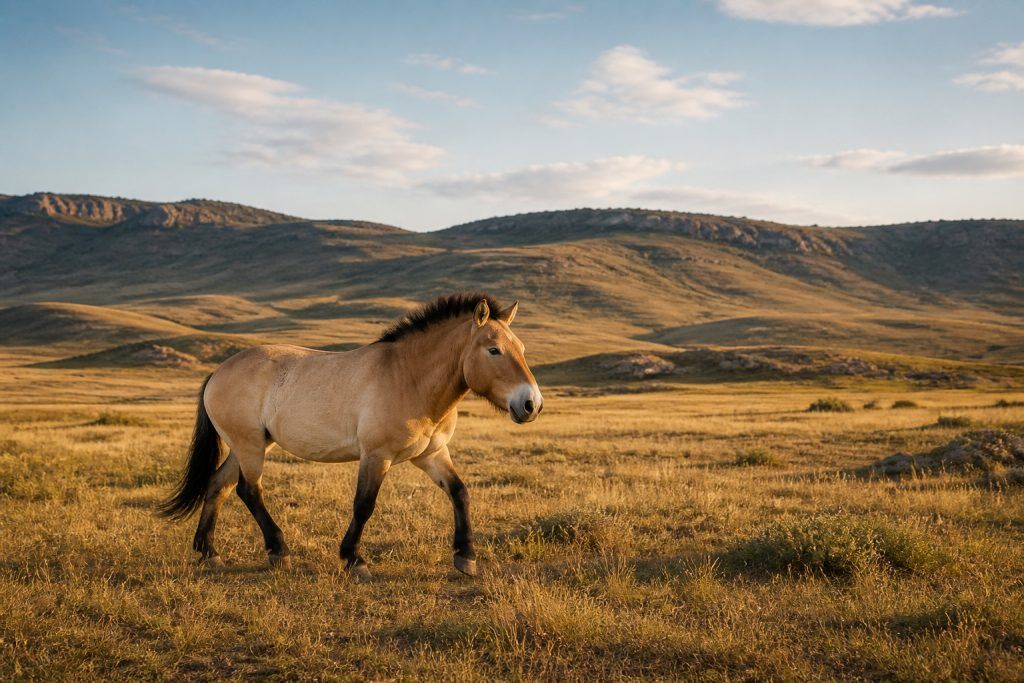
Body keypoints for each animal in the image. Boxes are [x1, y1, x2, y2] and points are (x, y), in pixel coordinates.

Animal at [159, 292, 543, 578]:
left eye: (523, 349)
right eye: (494, 350)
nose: (531, 404)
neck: (408, 377)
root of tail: (218, 371)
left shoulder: (431, 455)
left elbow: (460, 493)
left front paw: (466, 556)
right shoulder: (376, 456)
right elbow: (364, 504)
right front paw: (354, 559)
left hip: (246, 446)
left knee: (218, 486)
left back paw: (209, 551)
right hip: (249, 446)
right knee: (248, 491)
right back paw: (278, 550)